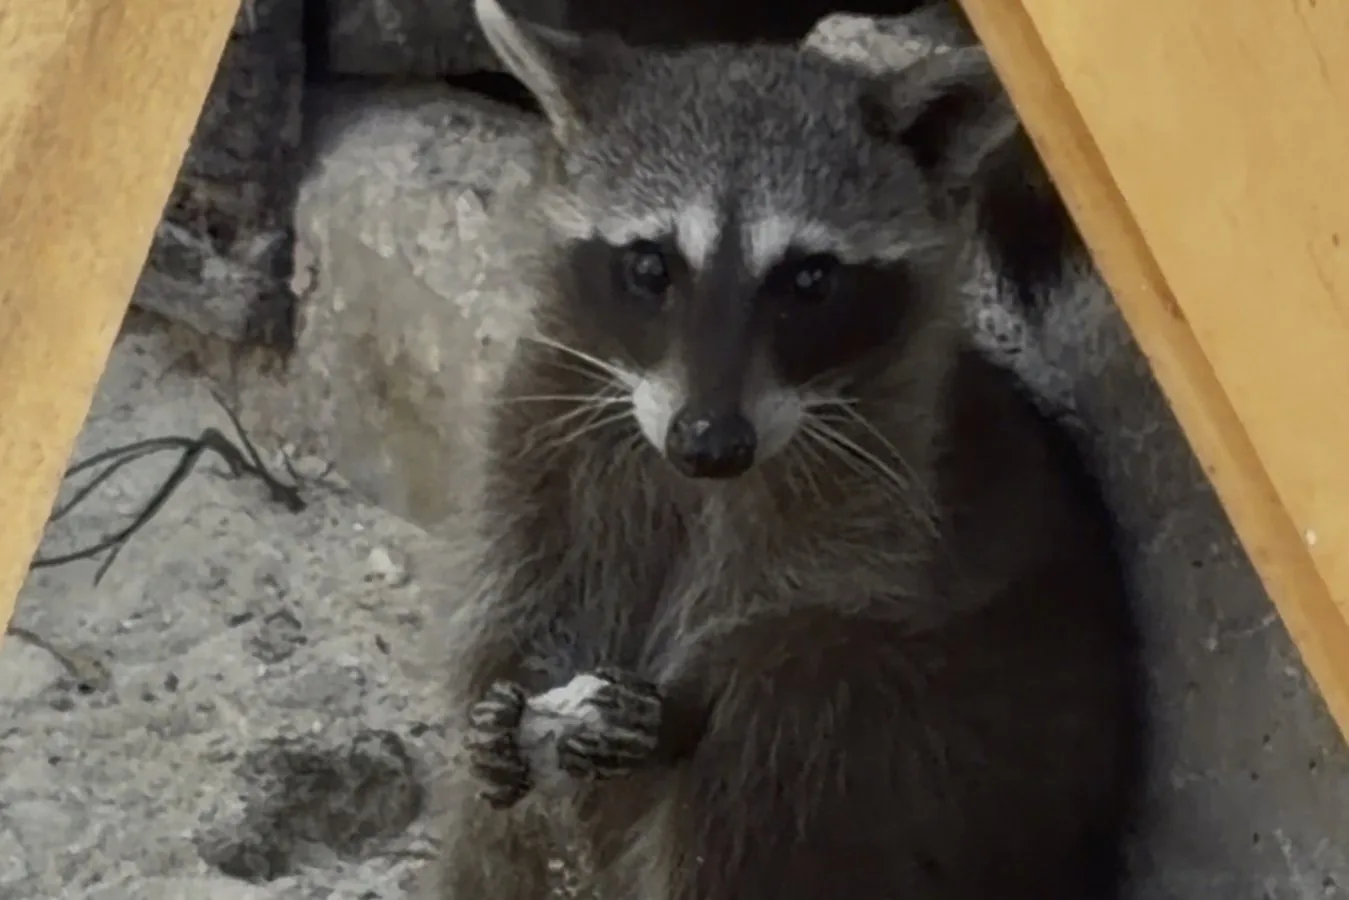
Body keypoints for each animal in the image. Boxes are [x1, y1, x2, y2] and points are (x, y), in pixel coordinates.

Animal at [426, 1, 1145, 898]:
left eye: (809, 279)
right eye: (650, 265)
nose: (709, 443)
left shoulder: (882, 486)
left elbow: (795, 614)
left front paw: (682, 700)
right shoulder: (541, 429)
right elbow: (517, 582)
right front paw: (505, 688)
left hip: (973, 750)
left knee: (783, 739)